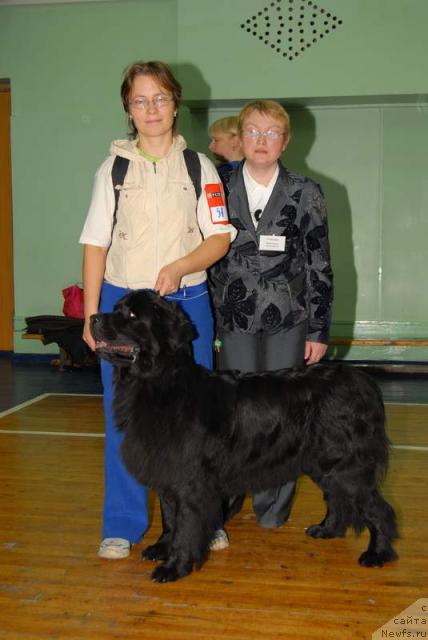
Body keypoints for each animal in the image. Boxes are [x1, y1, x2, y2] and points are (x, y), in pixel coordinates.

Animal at [91, 292, 398, 584]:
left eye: (131, 315)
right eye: (116, 308)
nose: (93, 317)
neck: (160, 384)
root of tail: (363, 382)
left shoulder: (190, 481)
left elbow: (184, 525)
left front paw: (174, 567)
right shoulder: (166, 472)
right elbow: (169, 518)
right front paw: (161, 548)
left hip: (346, 465)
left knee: (377, 508)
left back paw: (377, 554)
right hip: (325, 464)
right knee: (337, 498)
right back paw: (326, 529)